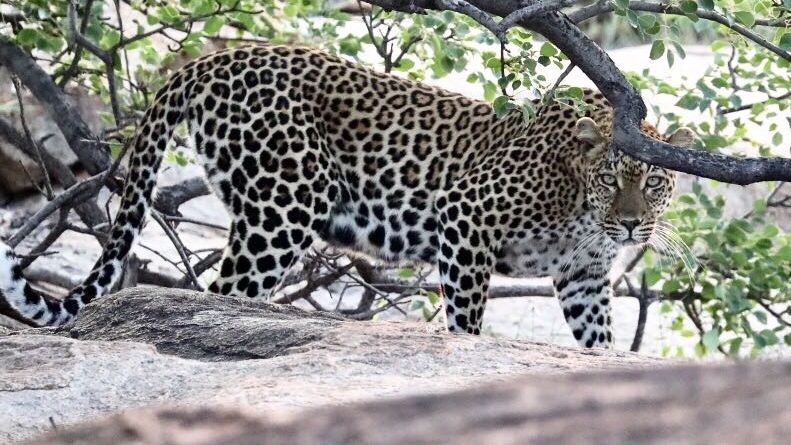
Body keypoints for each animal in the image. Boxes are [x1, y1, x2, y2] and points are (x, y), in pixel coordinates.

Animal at [0, 44, 694, 348]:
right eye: (612, 178)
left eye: (654, 182)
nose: (630, 227)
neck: (582, 209)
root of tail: (212, 60)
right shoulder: (465, 220)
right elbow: (466, 322)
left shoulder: (583, 277)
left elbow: (598, 342)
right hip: (284, 206)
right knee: (227, 294)